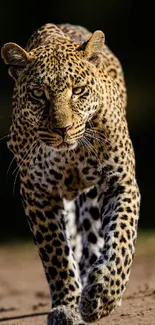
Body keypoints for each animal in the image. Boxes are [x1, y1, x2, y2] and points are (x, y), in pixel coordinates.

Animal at [0, 22, 140, 324]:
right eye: (38, 94)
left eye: (78, 90)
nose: (62, 129)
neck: (71, 153)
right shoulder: (37, 192)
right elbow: (56, 255)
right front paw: (66, 305)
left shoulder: (120, 181)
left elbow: (121, 240)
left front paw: (103, 295)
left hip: (92, 197)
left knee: (94, 238)